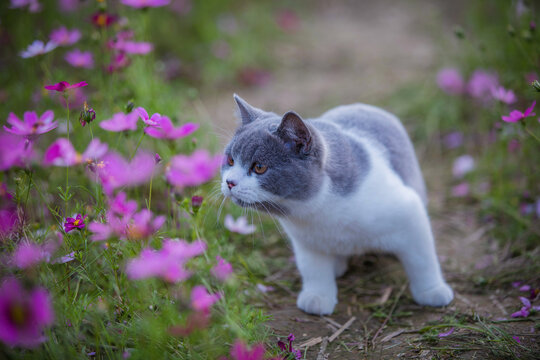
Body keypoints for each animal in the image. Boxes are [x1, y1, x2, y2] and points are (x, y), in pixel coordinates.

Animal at [219, 95, 452, 316]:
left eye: (259, 167)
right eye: (230, 161)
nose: (229, 182)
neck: (316, 210)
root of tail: (362, 105)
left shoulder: (410, 213)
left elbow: (422, 260)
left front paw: (432, 291)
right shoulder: (306, 241)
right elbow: (313, 269)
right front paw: (317, 297)